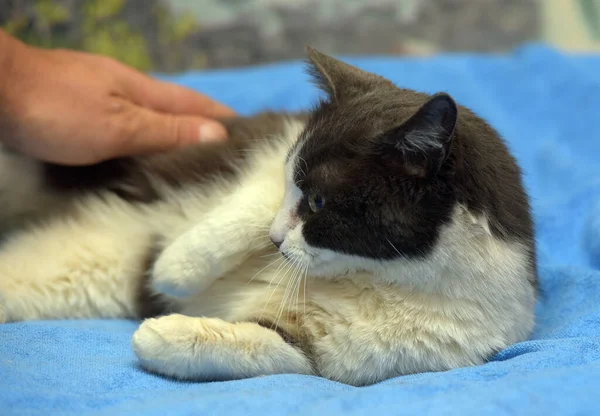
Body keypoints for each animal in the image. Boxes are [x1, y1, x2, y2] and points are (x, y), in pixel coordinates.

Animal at [0, 47, 536, 386]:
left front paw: (162, 334)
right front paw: (175, 267)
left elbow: (267, 348)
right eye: (297, 190)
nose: (277, 241)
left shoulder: (358, 352)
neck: (374, 274)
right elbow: (249, 203)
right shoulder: (274, 149)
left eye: (319, 205)